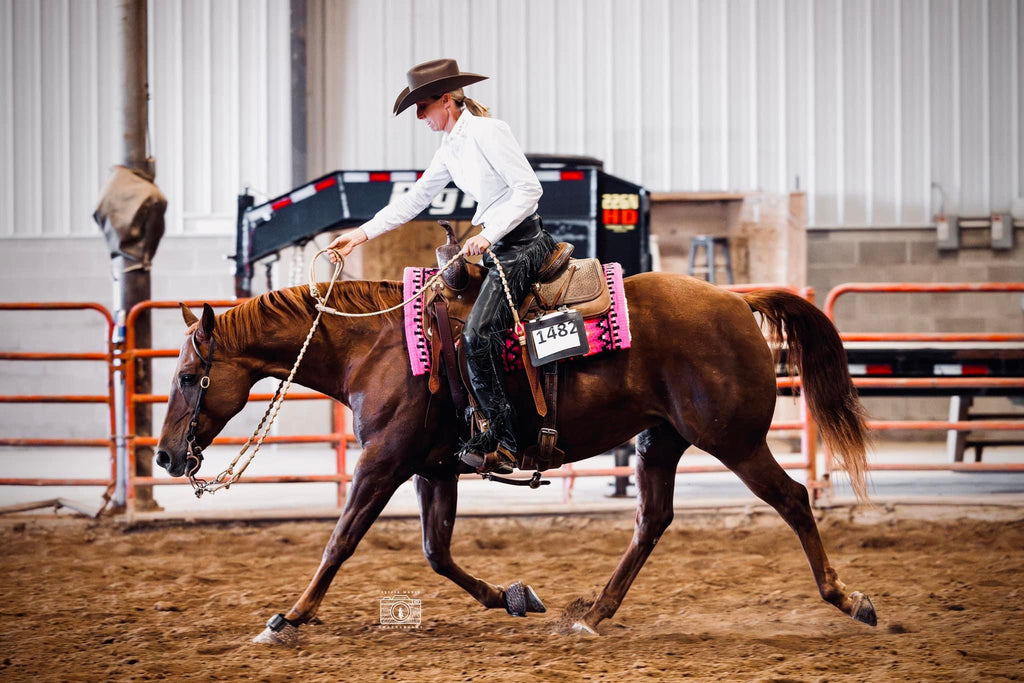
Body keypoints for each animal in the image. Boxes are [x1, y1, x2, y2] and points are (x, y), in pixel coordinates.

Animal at [155, 270, 876, 643]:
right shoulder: (432, 469)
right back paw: (593, 614)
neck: (378, 347)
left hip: (735, 441)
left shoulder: (381, 463)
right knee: (652, 521)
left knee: (792, 499)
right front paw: (513, 596)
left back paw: (848, 598)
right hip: (659, 442)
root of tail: (736, 299)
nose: (164, 457)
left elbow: (341, 540)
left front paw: (291, 615)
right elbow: (436, 551)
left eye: (189, 376)